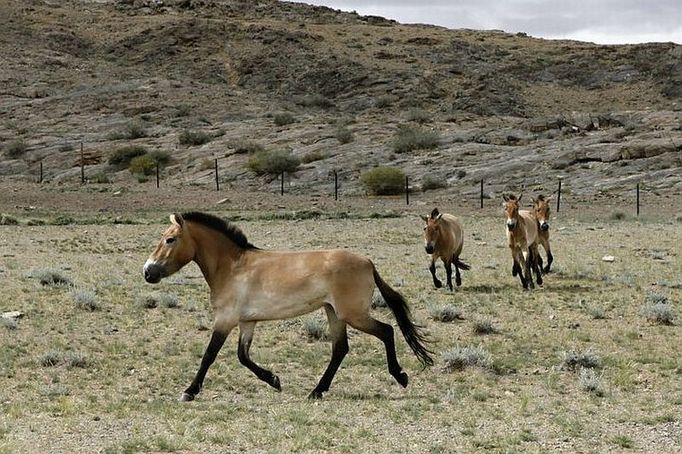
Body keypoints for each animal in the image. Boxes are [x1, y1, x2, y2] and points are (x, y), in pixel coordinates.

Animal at [142, 211, 430, 400]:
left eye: (169, 239)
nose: (147, 272)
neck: (232, 267)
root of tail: (368, 262)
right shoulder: (247, 321)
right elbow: (243, 356)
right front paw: (274, 380)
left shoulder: (225, 319)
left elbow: (210, 355)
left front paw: (189, 391)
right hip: (334, 313)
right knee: (340, 349)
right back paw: (317, 391)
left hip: (353, 314)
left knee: (386, 331)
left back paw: (400, 376)